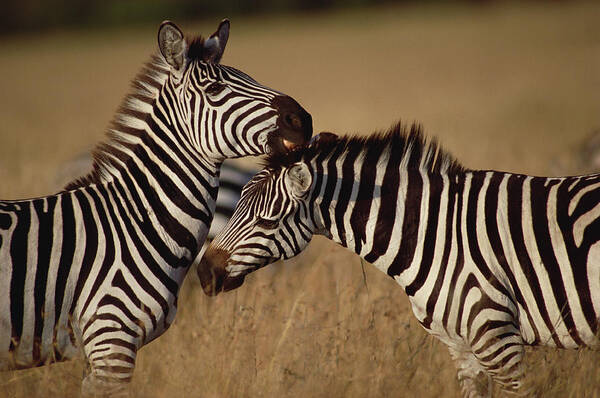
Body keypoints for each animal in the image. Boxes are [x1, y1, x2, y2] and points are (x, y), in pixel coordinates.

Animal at [3, 19, 314, 394]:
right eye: (215, 89)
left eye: (250, 77)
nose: (302, 118)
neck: (130, 222)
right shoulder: (112, 341)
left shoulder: (96, 353)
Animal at [199, 122, 600, 398]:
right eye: (235, 205)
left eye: (267, 221)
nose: (204, 272)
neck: (435, 232)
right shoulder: (463, 348)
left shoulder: (497, 334)